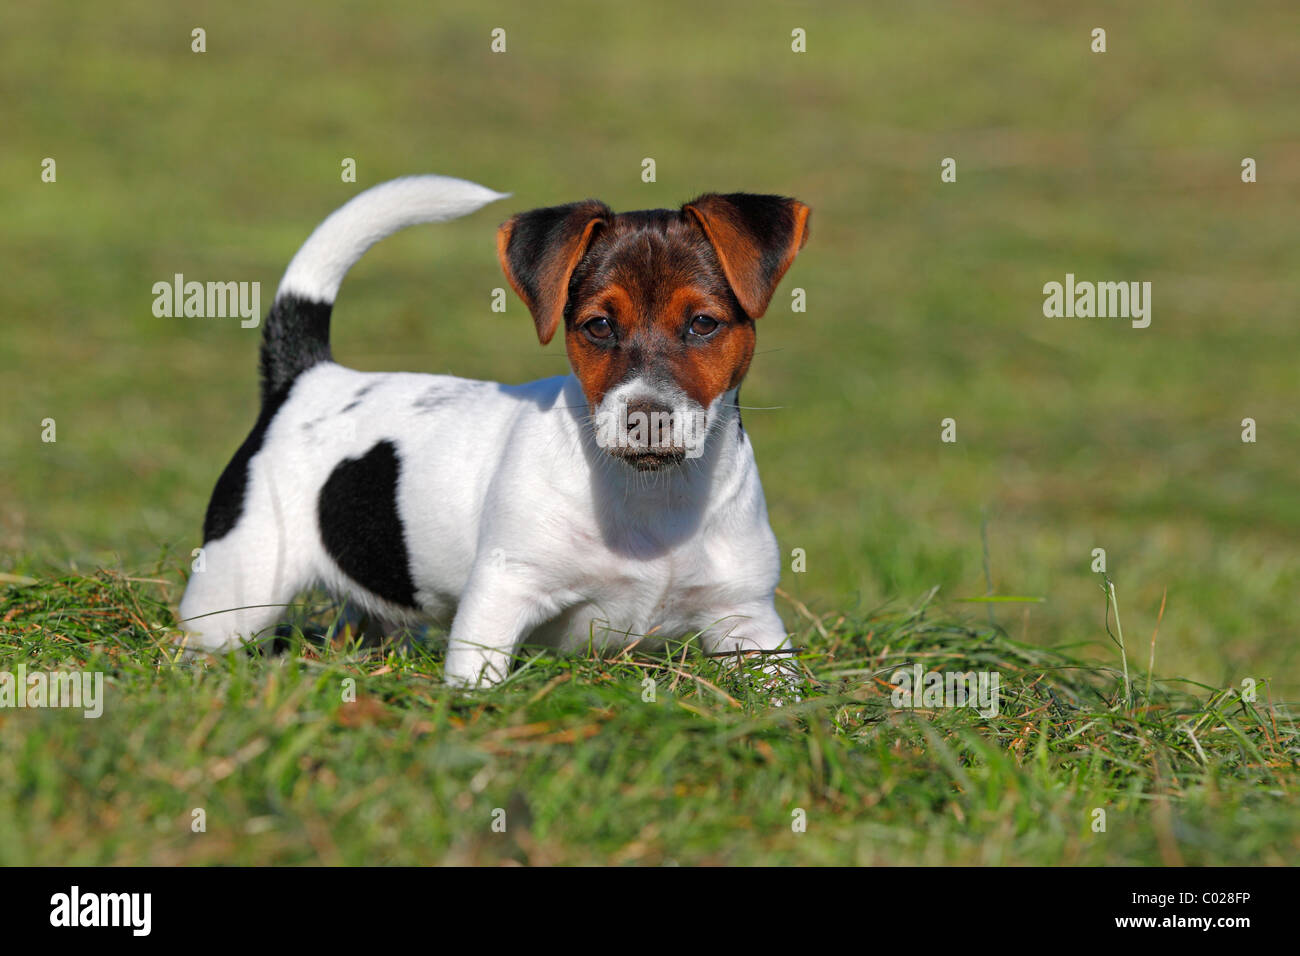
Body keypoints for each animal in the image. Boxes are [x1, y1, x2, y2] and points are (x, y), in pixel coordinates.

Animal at [178, 175, 806, 691]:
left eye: (703, 324)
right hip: (238, 590)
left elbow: (784, 691)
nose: (645, 416)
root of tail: (307, 378)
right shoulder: (501, 599)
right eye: (598, 326)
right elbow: (478, 679)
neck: (653, 496)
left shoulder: (749, 620)